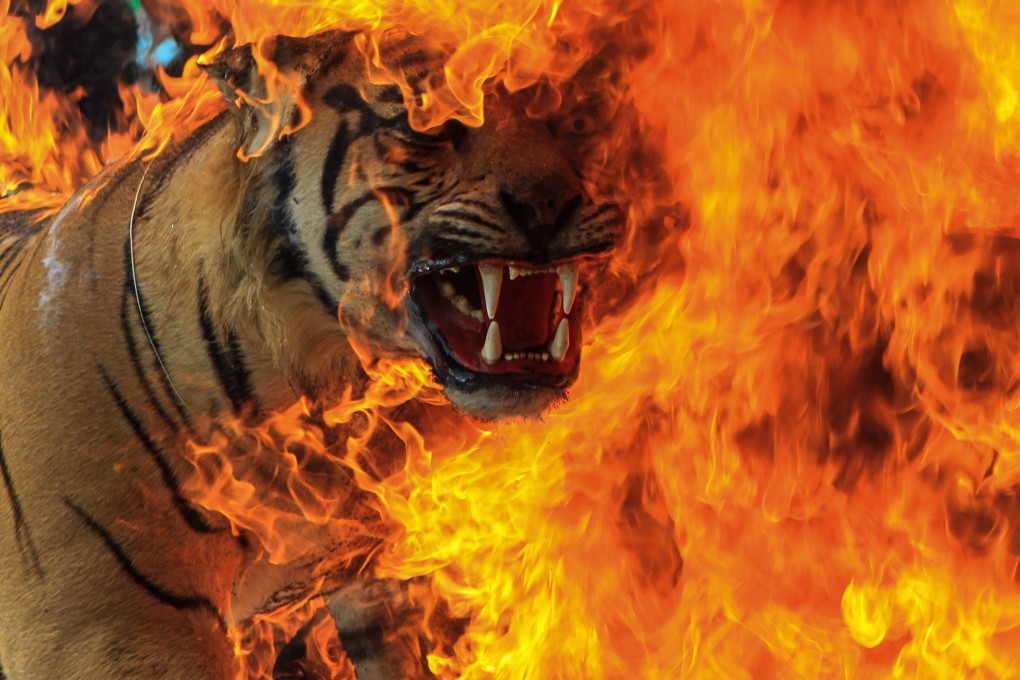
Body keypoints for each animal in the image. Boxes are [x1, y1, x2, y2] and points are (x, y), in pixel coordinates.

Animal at [0, 29, 632, 679]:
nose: (552, 205)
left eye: (563, 116)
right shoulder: (101, 628)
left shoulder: (383, 586)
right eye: (431, 123)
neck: (309, 384)